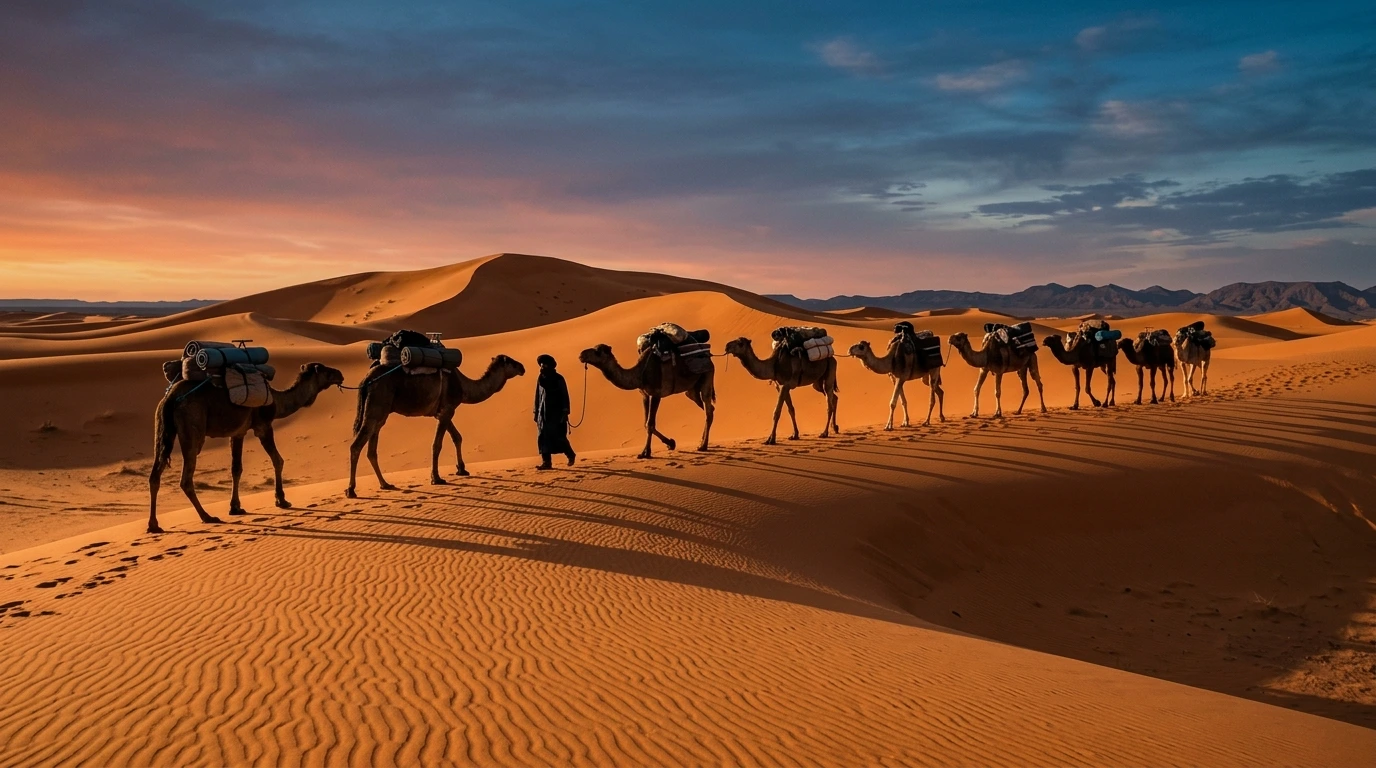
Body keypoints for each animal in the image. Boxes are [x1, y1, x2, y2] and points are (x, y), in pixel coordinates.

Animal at [149, 362, 346, 534]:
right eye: (324, 369)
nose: (340, 374)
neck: (277, 401)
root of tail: (170, 398)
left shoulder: (238, 433)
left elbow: (236, 469)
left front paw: (235, 507)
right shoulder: (263, 426)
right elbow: (278, 460)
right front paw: (282, 500)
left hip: (162, 427)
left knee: (155, 475)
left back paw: (154, 525)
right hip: (192, 427)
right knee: (186, 479)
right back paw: (207, 517)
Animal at [346, 355, 526, 498]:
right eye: (511, 362)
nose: (523, 367)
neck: (463, 386)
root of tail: (366, 380)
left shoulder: (443, 412)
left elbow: (457, 437)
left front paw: (461, 469)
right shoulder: (447, 410)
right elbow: (437, 444)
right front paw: (437, 478)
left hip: (380, 414)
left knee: (371, 450)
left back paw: (385, 484)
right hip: (376, 407)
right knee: (356, 446)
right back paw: (351, 490)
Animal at [578, 344, 715, 458]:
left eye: (597, 351)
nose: (581, 355)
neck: (640, 374)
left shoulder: (656, 394)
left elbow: (650, 424)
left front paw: (646, 453)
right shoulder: (644, 395)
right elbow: (645, 423)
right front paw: (670, 443)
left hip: (707, 376)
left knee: (708, 410)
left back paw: (703, 446)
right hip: (692, 389)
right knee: (708, 408)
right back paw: (701, 442)